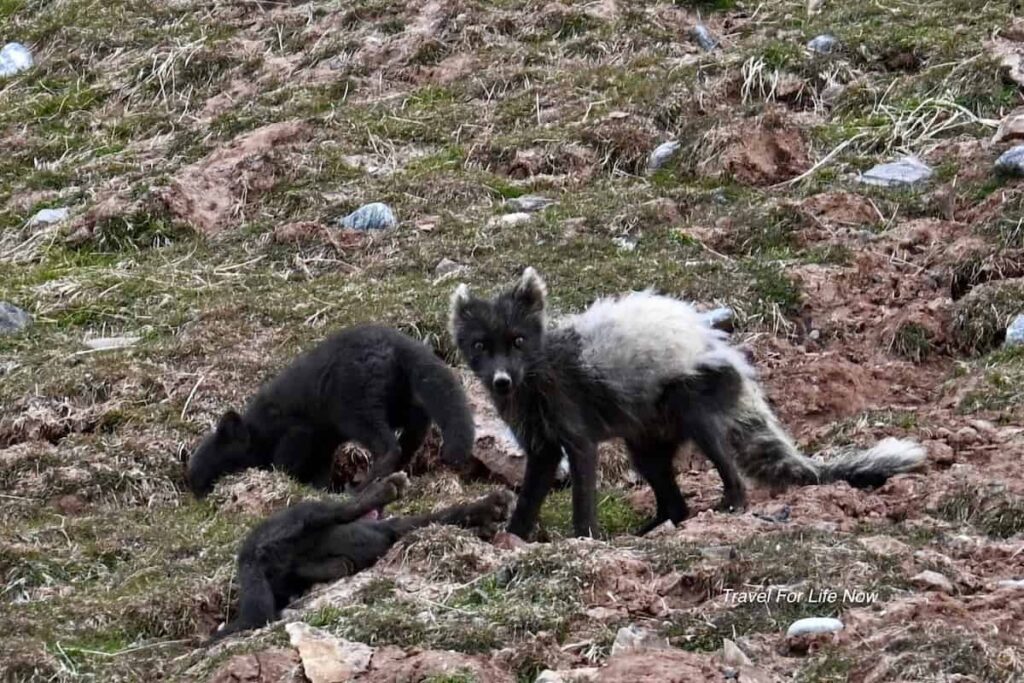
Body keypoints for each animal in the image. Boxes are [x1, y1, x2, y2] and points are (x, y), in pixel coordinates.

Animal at [186, 325, 474, 498]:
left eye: (215, 466)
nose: (197, 493)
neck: (258, 429)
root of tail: (396, 339)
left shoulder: (298, 432)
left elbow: (284, 462)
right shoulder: (322, 447)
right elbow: (319, 474)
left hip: (354, 408)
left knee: (390, 446)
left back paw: (362, 487)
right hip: (395, 401)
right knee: (416, 426)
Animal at [210, 472, 515, 640]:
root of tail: (250, 558)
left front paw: (487, 517)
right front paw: (492, 509)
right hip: (302, 515)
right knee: (342, 509)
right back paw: (387, 487)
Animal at [449, 267, 926, 540]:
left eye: (517, 341)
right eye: (480, 346)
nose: (501, 381)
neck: (536, 378)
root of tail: (731, 358)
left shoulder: (576, 436)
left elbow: (583, 495)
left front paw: (584, 539)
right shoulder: (542, 446)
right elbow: (529, 495)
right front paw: (515, 537)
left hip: (693, 407)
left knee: (729, 474)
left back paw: (729, 507)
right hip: (645, 447)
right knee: (675, 504)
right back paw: (650, 529)